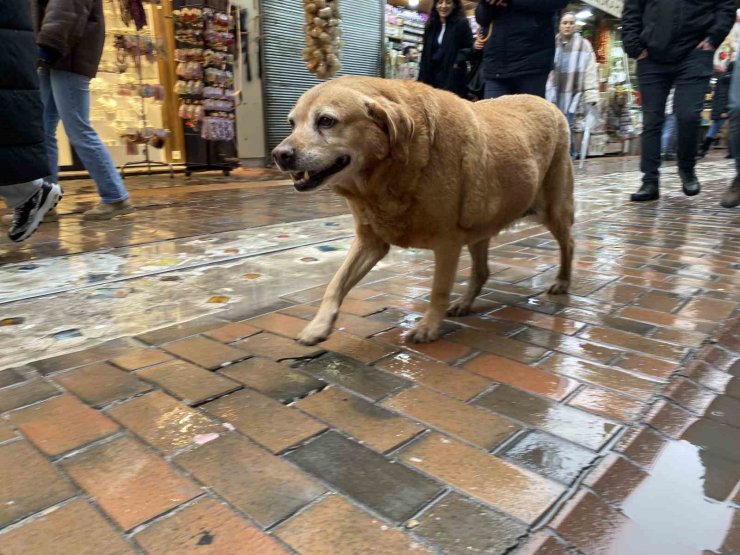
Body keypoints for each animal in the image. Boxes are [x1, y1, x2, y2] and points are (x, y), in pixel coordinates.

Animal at [274, 75, 576, 344]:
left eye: (326, 120)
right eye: (292, 123)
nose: (280, 155)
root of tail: (546, 102)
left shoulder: (447, 244)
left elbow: (438, 290)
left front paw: (428, 326)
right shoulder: (370, 241)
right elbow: (335, 283)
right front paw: (319, 325)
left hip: (553, 210)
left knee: (569, 244)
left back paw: (562, 281)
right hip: (480, 224)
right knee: (481, 271)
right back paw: (465, 302)